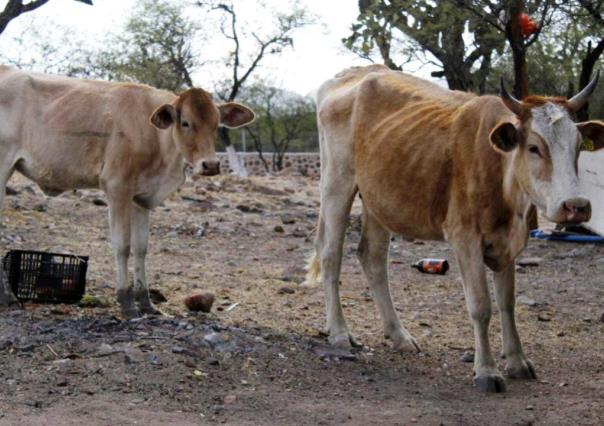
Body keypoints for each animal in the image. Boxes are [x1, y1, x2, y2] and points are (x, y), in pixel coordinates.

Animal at [306, 65, 604, 394]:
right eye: (534, 147)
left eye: (578, 147)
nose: (576, 206)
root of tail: (357, 72)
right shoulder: (465, 238)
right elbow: (481, 305)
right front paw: (486, 371)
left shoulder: (508, 242)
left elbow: (507, 303)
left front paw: (516, 361)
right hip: (337, 183)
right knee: (331, 254)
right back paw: (339, 332)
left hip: (379, 199)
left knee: (372, 257)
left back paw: (399, 335)